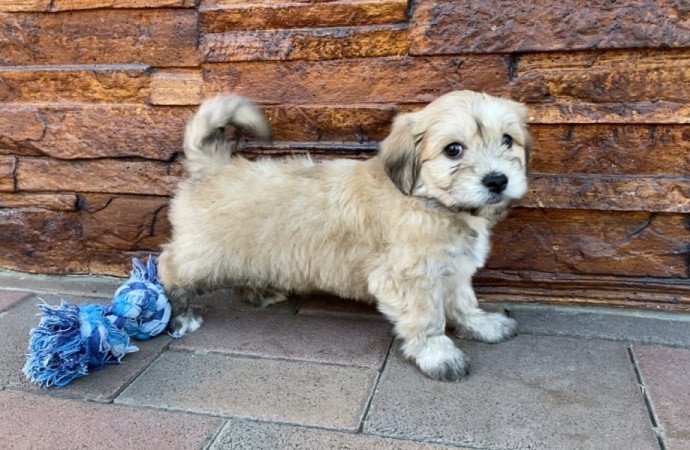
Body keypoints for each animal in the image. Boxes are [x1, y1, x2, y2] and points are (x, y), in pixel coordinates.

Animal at [159, 90, 528, 380]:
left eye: (507, 140)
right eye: (453, 150)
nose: (497, 180)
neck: (429, 202)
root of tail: (215, 166)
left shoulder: (453, 268)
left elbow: (464, 302)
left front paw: (482, 325)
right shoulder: (409, 278)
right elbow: (427, 317)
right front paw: (438, 354)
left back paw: (259, 292)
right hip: (206, 254)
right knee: (169, 267)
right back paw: (181, 315)